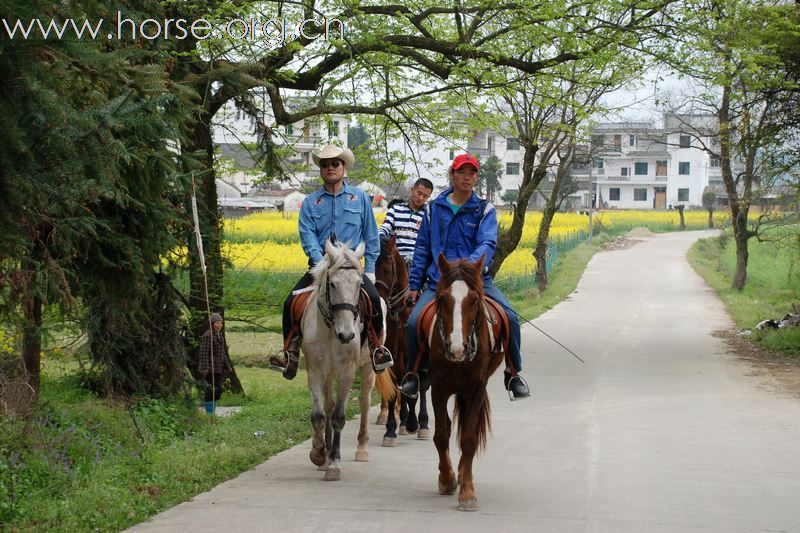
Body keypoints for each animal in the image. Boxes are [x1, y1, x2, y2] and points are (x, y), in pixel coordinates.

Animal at [302, 239, 396, 480]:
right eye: (333, 284)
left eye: (358, 285)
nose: (347, 335)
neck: (330, 330)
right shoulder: (315, 370)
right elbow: (319, 414)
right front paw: (319, 453)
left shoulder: (347, 371)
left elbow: (338, 416)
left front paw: (334, 463)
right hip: (329, 373)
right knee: (328, 405)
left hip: (368, 368)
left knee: (364, 402)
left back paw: (362, 448)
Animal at [376, 235, 432, 442]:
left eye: (389, 267)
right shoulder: (393, 354)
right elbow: (395, 389)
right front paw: (391, 430)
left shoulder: (412, 355)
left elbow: (414, 388)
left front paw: (413, 424)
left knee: (422, 386)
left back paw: (422, 423)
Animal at [422, 254, 504, 512]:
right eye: (442, 298)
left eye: (474, 300)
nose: (457, 349)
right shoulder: (438, 389)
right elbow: (441, 435)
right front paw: (446, 479)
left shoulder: (476, 389)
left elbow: (469, 439)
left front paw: (467, 493)